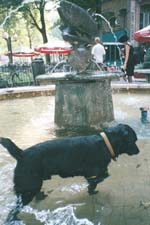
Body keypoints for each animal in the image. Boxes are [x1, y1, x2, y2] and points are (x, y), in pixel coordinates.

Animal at [0, 124, 139, 207]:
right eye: (134, 140)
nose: (138, 151)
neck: (106, 143)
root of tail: (21, 153)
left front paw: (91, 190)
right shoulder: (94, 172)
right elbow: (100, 178)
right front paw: (92, 188)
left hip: (34, 184)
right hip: (28, 187)